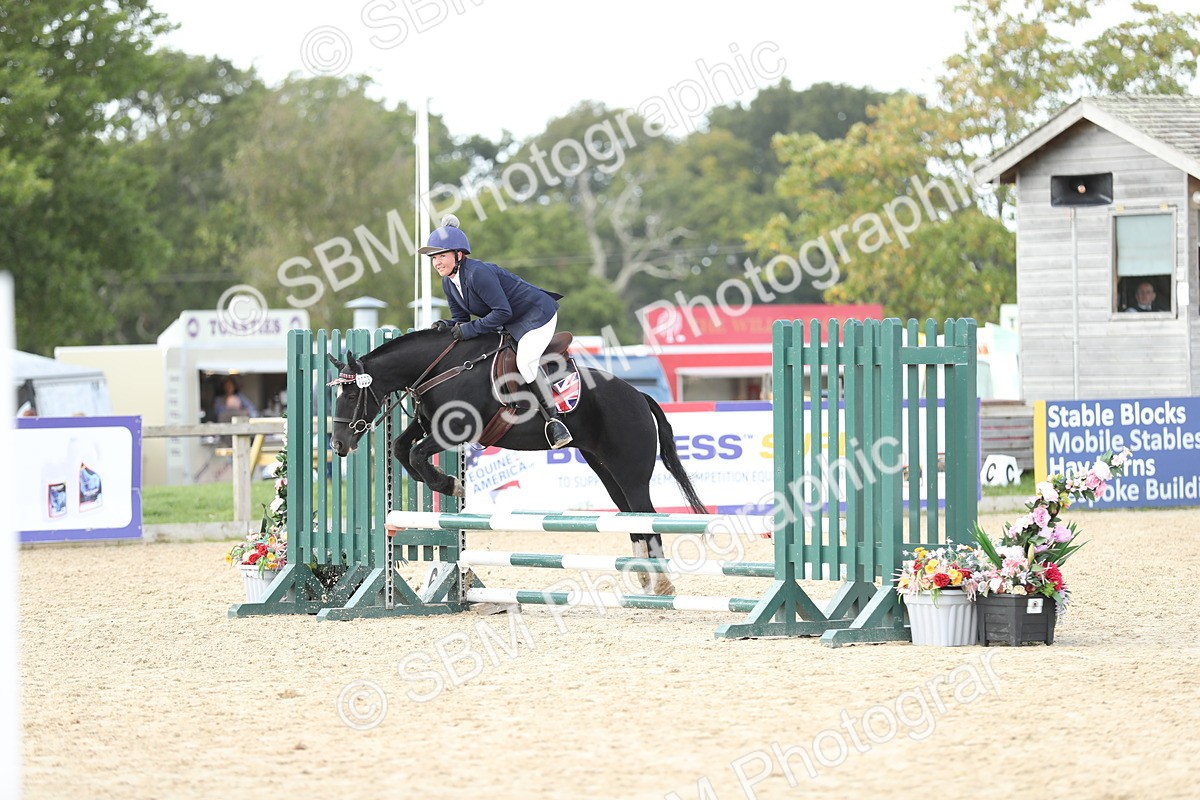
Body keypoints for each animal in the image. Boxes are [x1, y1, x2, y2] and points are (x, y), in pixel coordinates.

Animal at [327, 327, 706, 595]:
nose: (338, 444)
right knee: (631, 515)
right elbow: (401, 449)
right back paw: (643, 578)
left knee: (647, 514)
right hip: (605, 469)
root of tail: (638, 395)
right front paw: (446, 483)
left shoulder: (457, 429)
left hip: (630, 470)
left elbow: (417, 453)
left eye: (351, 392)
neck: (444, 369)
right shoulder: (427, 424)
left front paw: (451, 484)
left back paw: (662, 585)